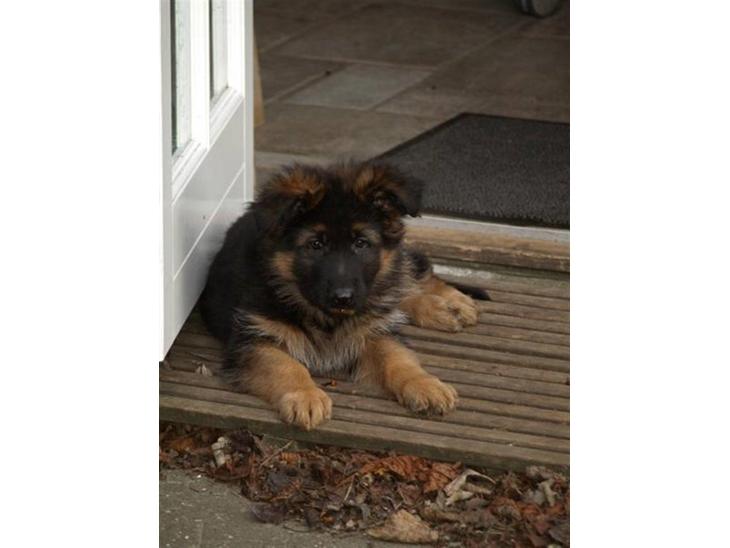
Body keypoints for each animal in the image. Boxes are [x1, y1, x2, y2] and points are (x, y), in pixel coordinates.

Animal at [199, 162, 479, 430]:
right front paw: (305, 396)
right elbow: (287, 366)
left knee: (409, 273)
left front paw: (424, 383)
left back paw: (451, 304)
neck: (322, 315)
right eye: (316, 244)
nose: (343, 298)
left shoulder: (375, 331)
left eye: (361, 243)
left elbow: (397, 357)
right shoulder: (253, 340)